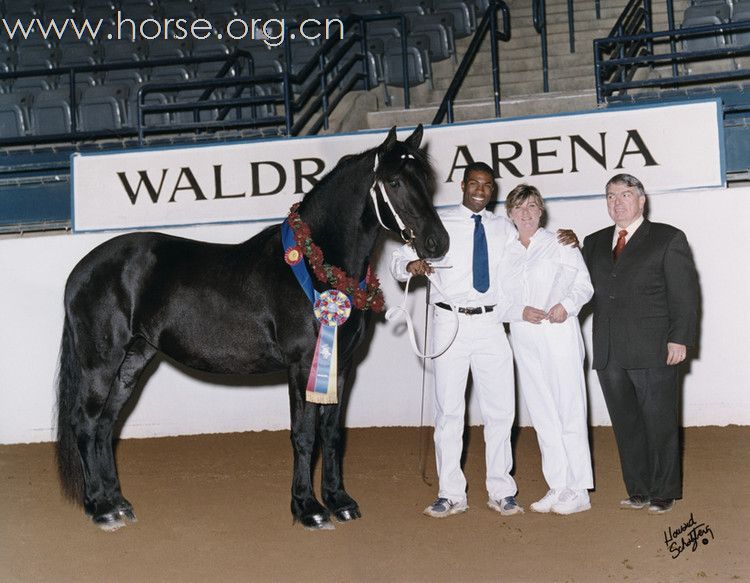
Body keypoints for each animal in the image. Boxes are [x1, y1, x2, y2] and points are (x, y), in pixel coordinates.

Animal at [57, 125, 452, 532]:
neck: (317, 265)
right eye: (394, 181)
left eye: (426, 178)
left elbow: (331, 434)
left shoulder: (341, 367)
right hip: (100, 362)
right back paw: (101, 508)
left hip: (132, 361)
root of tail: (81, 270)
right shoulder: (301, 366)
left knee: (106, 426)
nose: (438, 242)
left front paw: (340, 502)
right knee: (86, 423)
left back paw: (117, 502)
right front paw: (308, 509)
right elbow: (304, 435)